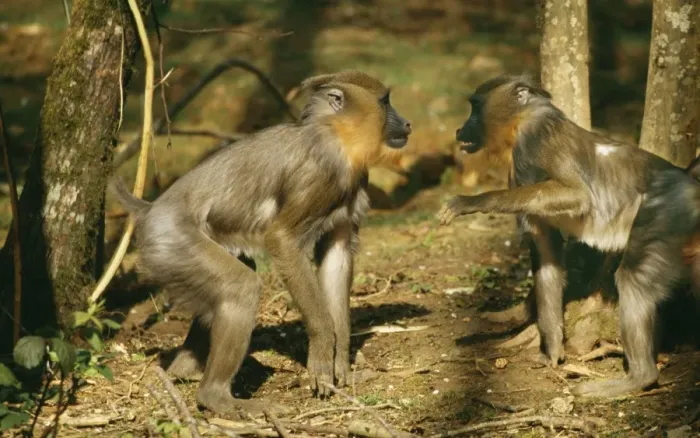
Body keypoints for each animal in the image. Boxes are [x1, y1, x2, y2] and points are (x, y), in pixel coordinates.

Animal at [111, 71, 412, 414]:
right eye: (385, 101)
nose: (406, 123)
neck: (335, 135)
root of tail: (149, 210)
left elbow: (337, 256)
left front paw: (341, 366)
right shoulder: (319, 175)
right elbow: (282, 240)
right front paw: (322, 354)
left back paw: (184, 370)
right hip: (171, 243)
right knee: (241, 287)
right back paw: (215, 396)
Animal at [438, 74, 700, 398]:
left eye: (475, 108)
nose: (460, 129)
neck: (520, 121)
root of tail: (691, 186)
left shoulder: (533, 141)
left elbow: (579, 196)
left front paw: (473, 202)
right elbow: (546, 259)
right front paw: (551, 349)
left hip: (664, 212)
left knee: (634, 278)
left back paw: (640, 378)